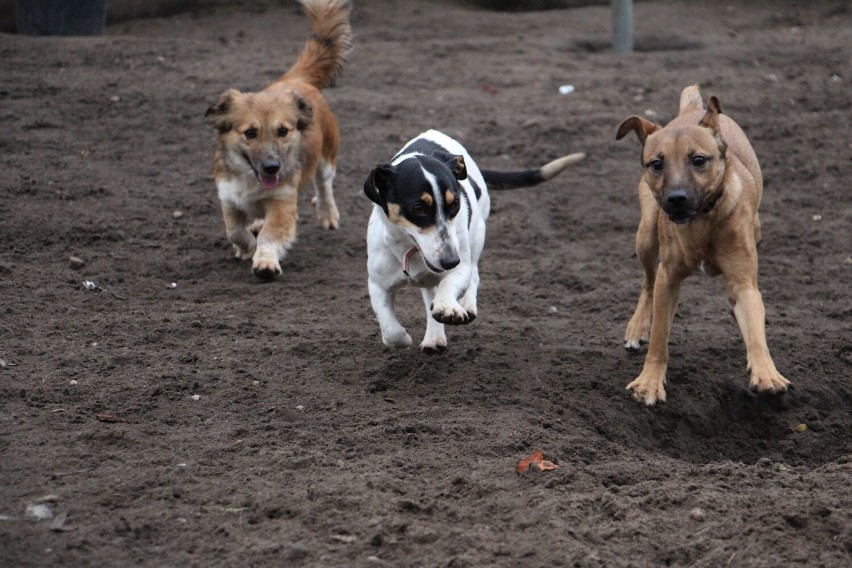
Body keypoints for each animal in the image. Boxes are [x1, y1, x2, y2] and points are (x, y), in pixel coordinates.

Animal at [205, 0, 352, 280]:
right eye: (250, 133)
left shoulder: (283, 201)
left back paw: (327, 214)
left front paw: (264, 261)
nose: (273, 167)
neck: (251, 180)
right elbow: (234, 231)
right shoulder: (228, 198)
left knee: (324, 184)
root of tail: (295, 80)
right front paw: (246, 247)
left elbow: (270, 235)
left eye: (283, 131)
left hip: (327, 156)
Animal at [362, 130, 584, 350]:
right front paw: (406, 337)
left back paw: (463, 306)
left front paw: (448, 306)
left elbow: (450, 283)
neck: (412, 251)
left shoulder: (460, 266)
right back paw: (434, 337)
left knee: (473, 275)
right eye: (417, 208)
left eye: (455, 203)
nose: (450, 261)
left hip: (477, 235)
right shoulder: (377, 284)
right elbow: (392, 333)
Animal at [616, 84, 788, 404]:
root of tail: (692, 110)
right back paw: (637, 326)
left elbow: (755, 327)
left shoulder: (743, 280)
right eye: (657, 164)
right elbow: (659, 336)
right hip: (646, 234)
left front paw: (766, 373)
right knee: (647, 281)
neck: (701, 222)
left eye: (698, 160)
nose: (676, 198)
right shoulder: (668, 277)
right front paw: (649, 382)